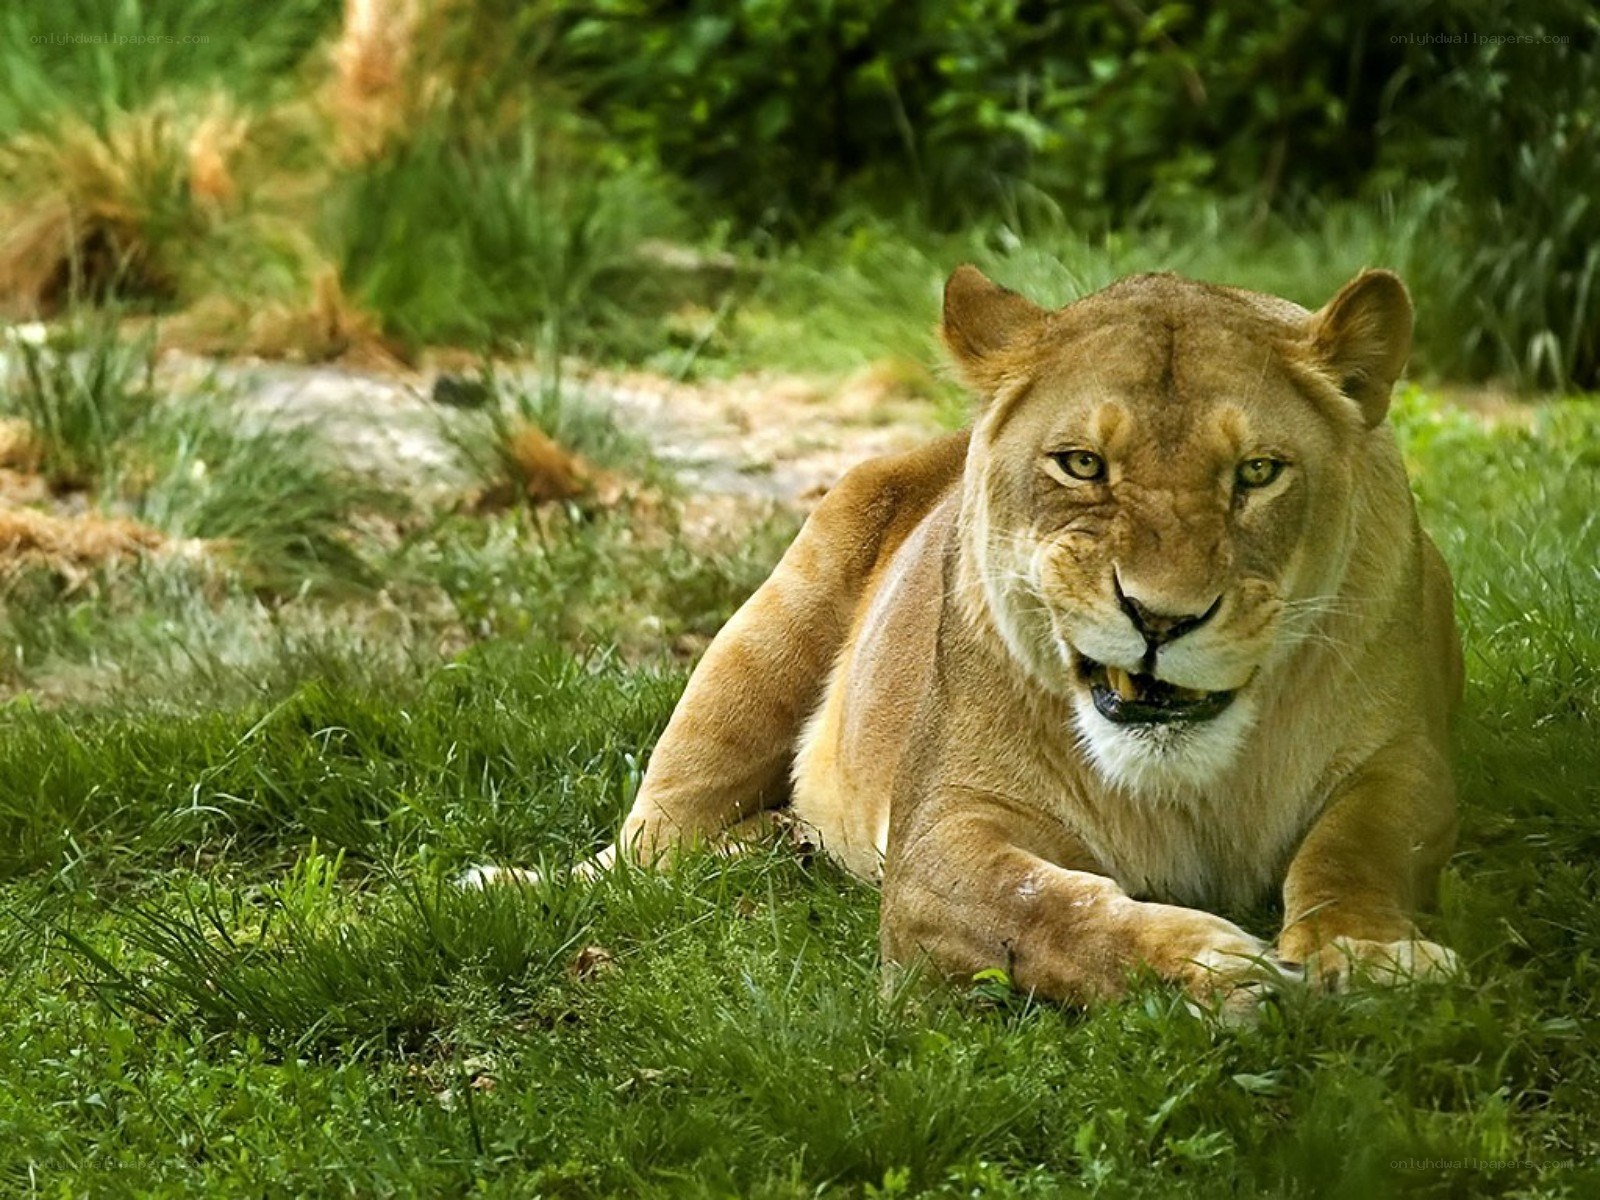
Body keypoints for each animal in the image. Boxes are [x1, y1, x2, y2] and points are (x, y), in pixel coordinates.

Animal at [470, 265, 1464, 1008]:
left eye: (1257, 472)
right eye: (1082, 464)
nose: (1161, 618)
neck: (1190, 779)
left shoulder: (1408, 755)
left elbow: (1355, 850)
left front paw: (1369, 954)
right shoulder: (938, 833)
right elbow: (1040, 908)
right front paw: (1210, 969)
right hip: (755, 645)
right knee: (643, 854)